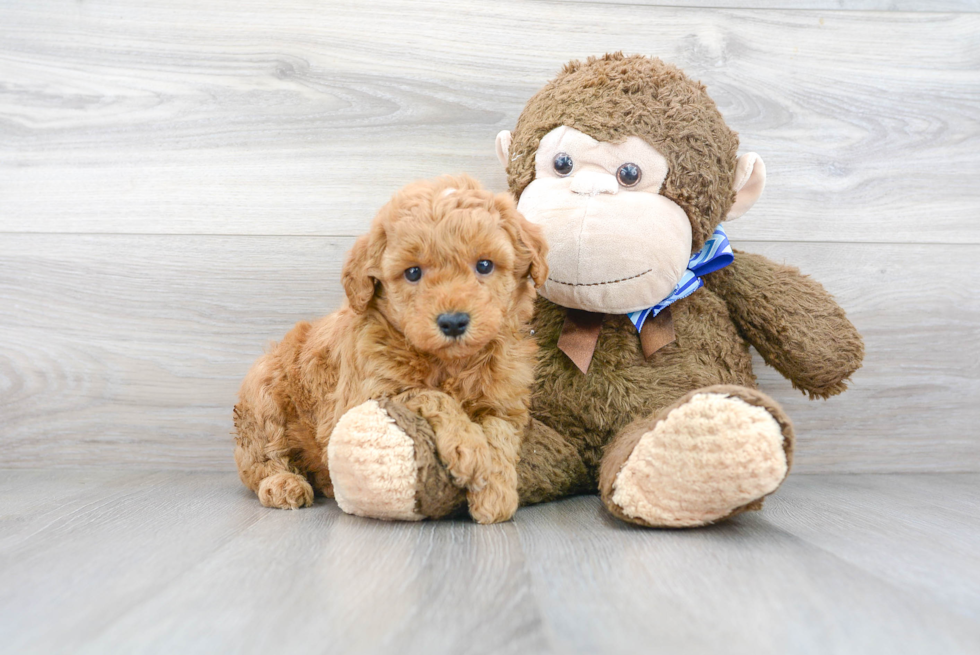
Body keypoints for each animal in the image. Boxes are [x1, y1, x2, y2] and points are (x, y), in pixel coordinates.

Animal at [234, 173, 548, 524]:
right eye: (413, 272)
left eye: (484, 265)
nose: (453, 322)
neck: (450, 363)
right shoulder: (366, 393)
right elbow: (429, 394)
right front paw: (468, 447)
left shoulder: (505, 400)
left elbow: (499, 431)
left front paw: (496, 490)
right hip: (263, 397)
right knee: (260, 458)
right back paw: (283, 483)